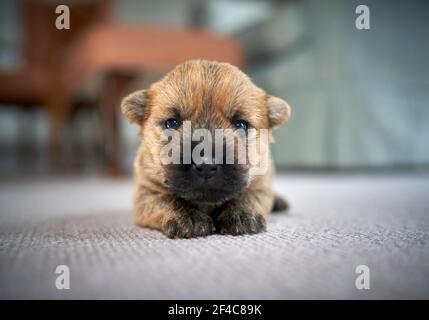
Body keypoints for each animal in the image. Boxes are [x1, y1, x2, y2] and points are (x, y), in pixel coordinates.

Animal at [118, 61, 290, 239]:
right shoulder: (145, 192)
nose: (206, 165)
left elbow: (248, 195)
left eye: (241, 125)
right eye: (171, 123)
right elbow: (166, 199)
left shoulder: (261, 183)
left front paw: (241, 214)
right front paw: (188, 218)